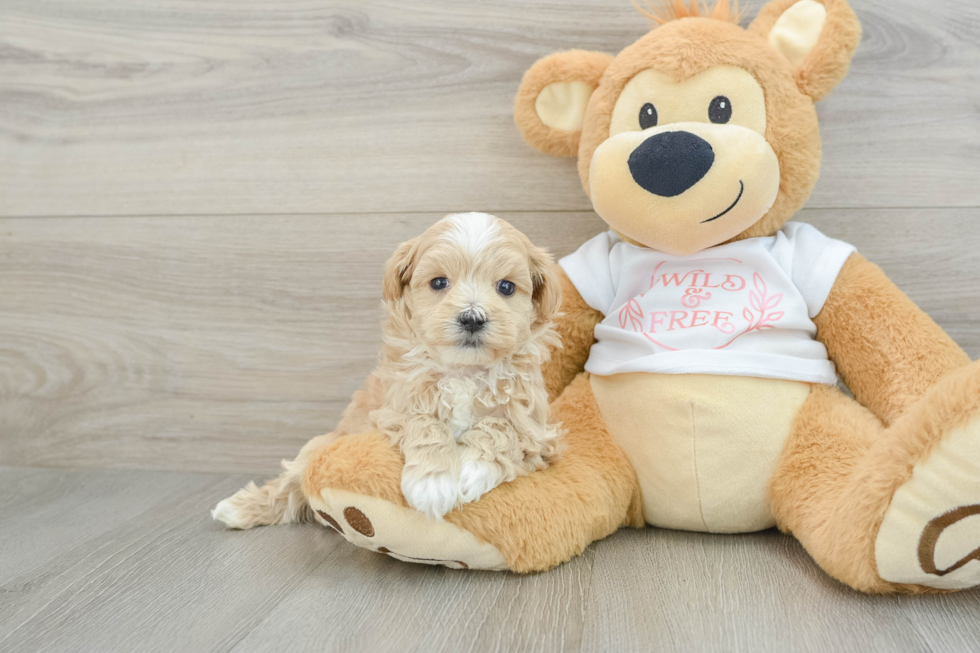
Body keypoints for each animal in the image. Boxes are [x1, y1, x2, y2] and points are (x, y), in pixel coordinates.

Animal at [212, 214, 568, 528]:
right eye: (439, 282)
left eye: (506, 287)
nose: (472, 318)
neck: (463, 372)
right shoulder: (388, 410)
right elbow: (423, 422)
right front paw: (432, 482)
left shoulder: (538, 432)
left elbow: (501, 427)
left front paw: (469, 470)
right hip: (322, 445)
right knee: (290, 482)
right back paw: (238, 509)